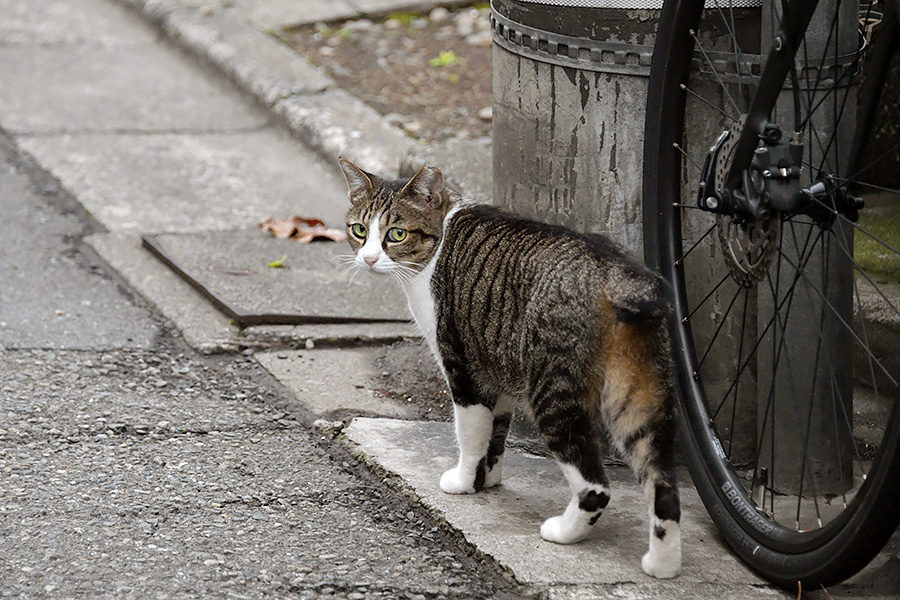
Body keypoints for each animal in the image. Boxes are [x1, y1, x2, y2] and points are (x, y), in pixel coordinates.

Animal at [342, 158, 680, 576]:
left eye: (397, 234)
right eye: (359, 230)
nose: (369, 258)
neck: (438, 243)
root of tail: (612, 268)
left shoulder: (462, 367)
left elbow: (471, 435)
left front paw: (463, 482)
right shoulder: (495, 364)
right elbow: (496, 433)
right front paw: (487, 480)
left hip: (554, 389)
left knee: (595, 485)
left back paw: (564, 532)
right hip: (639, 392)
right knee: (663, 485)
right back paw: (663, 566)